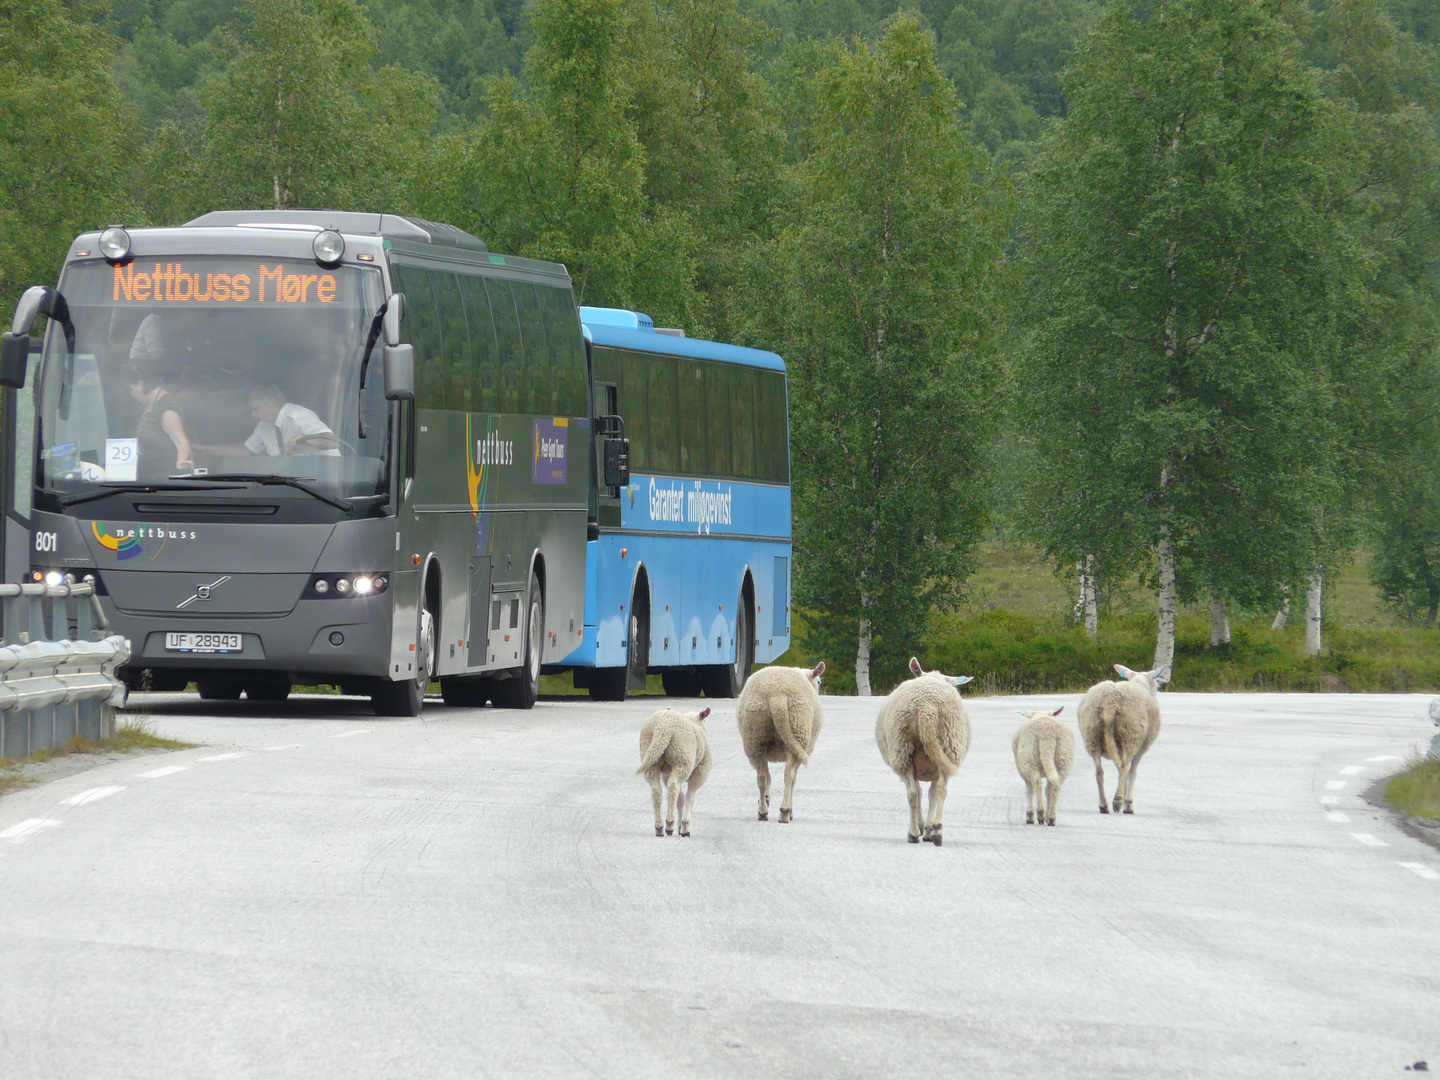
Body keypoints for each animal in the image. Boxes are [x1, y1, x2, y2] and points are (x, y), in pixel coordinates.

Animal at [639, 705, 711, 840]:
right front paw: (685, 826)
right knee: (673, 786)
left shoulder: (667, 773)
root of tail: (663, 729)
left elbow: (680, 799)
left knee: (657, 789)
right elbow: (689, 798)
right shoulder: (700, 772)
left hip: (651, 758)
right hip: (681, 758)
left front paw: (681, 825)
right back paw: (669, 823)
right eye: (704, 721)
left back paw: (659, 827)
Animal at [737, 659, 829, 829]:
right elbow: (793, 780)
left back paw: (763, 811)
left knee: (761, 777)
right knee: (788, 776)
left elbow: (768, 777)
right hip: (798, 731)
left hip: (755, 736)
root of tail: (776, 696)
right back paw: (785, 812)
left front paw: (766, 799)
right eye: (819, 681)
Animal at [869, 659, 973, 846]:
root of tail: (927, 707)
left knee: (912, 793)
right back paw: (937, 831)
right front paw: (929, 828)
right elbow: (932, 794)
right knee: (941, 790)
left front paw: (923, 826)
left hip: (902, 749)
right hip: (948, 744)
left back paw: (913, 833)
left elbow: (921, 792)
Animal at [1077, 665, 1163, 817]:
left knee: (1099, 771)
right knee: (1124, 767)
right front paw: (1127, 803)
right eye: (1156, 682)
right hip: (1131, 734)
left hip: (1092, 735)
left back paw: (1104, 805)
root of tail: (1109, 703)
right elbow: (1132, 772)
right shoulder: (1141, 749)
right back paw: (1118, 801)